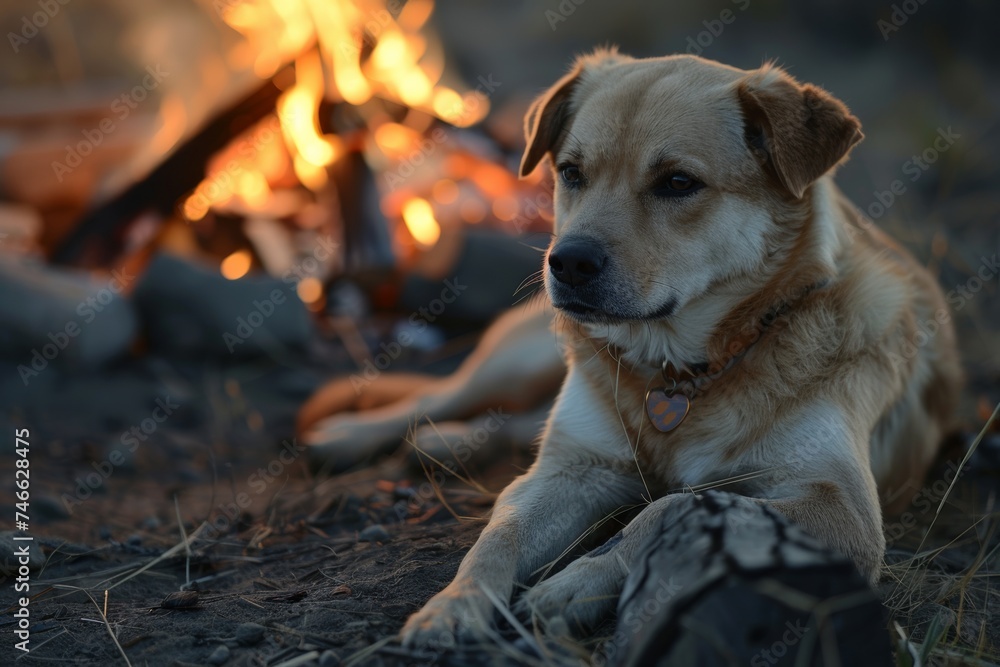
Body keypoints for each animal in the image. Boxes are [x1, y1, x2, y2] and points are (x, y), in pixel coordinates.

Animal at [308, 52, 964, 648]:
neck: (682, 372)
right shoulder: (571, 471)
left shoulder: (840, 508)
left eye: (678, 182)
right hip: (518, 362)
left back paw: (450, 442)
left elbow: (670, 506)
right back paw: (356, 436)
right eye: (571, 172)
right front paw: (453, 606)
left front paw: (574, 585)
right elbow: (497, 537)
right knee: (446, 396)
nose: (567, 263)